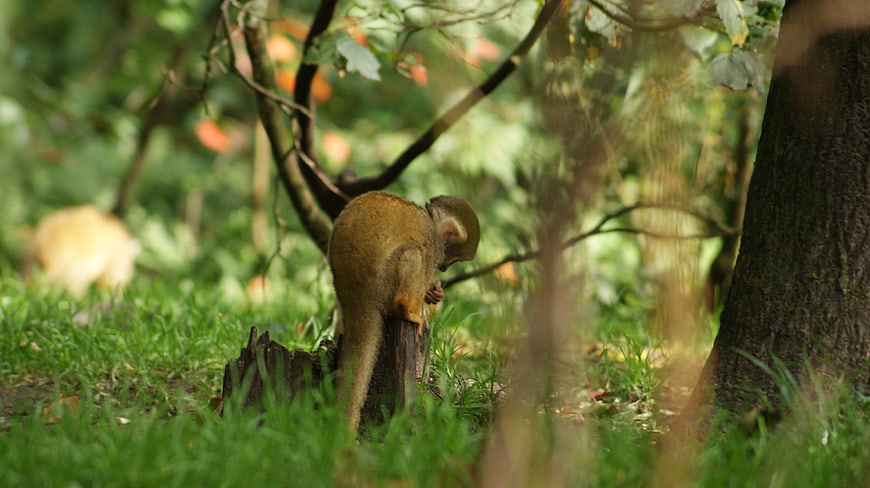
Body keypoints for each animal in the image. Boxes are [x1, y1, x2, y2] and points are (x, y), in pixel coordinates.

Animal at [328, 191, 480, 431]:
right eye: (454, 257)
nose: (444, 267)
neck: (430, 219)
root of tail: (356, 295)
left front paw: (433, 292)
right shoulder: (432, 243)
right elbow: (421, 260)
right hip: (382, 284)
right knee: (413, 254)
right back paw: (405, 310)